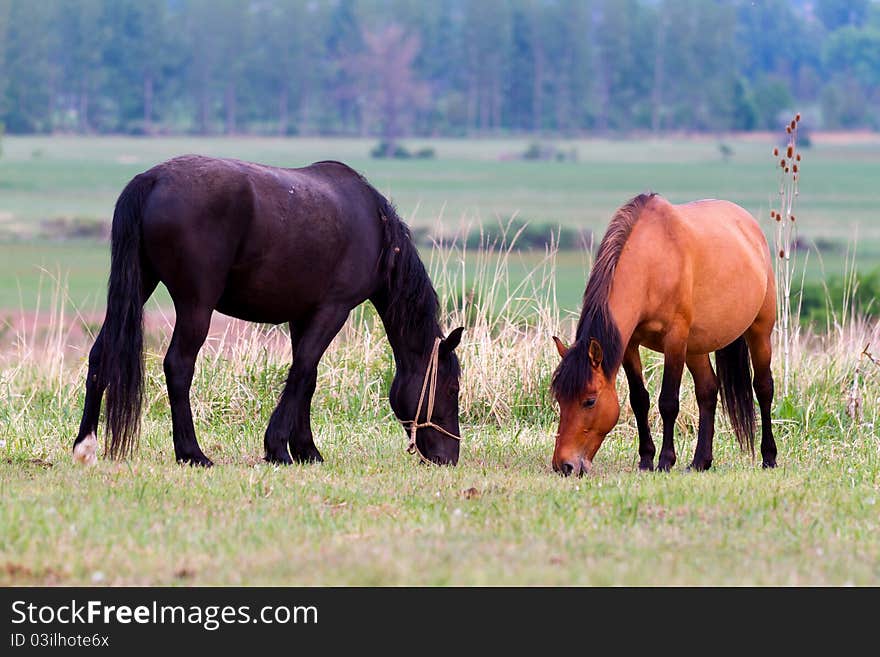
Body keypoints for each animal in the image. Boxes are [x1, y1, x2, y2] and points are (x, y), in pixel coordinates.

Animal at [72, 156, 464, 466]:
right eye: (451, 389)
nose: (449, 457)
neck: (376, 228)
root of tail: (152, 179)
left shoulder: (303, 314)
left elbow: (308, 377)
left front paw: (306, 449)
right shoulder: (333, 309)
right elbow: (302, 370)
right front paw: (278, 448)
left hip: (139, 287)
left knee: (102, 354)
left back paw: (84, 445)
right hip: (196, 306)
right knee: (178, 366)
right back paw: (192, 453)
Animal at [552, 192, 776, 474]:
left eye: (589, 401)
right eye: (560, 399)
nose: (564, 465)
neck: (652, 262)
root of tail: (750, 227)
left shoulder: (675, 339)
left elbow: (668, 402)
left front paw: (665, 460)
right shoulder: (629, 344)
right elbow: (639, 399)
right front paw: (646, 459)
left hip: (759, 330)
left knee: (764, 388)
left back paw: (769, 457)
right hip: (696, 346)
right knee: (707, 390)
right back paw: (700, 461)